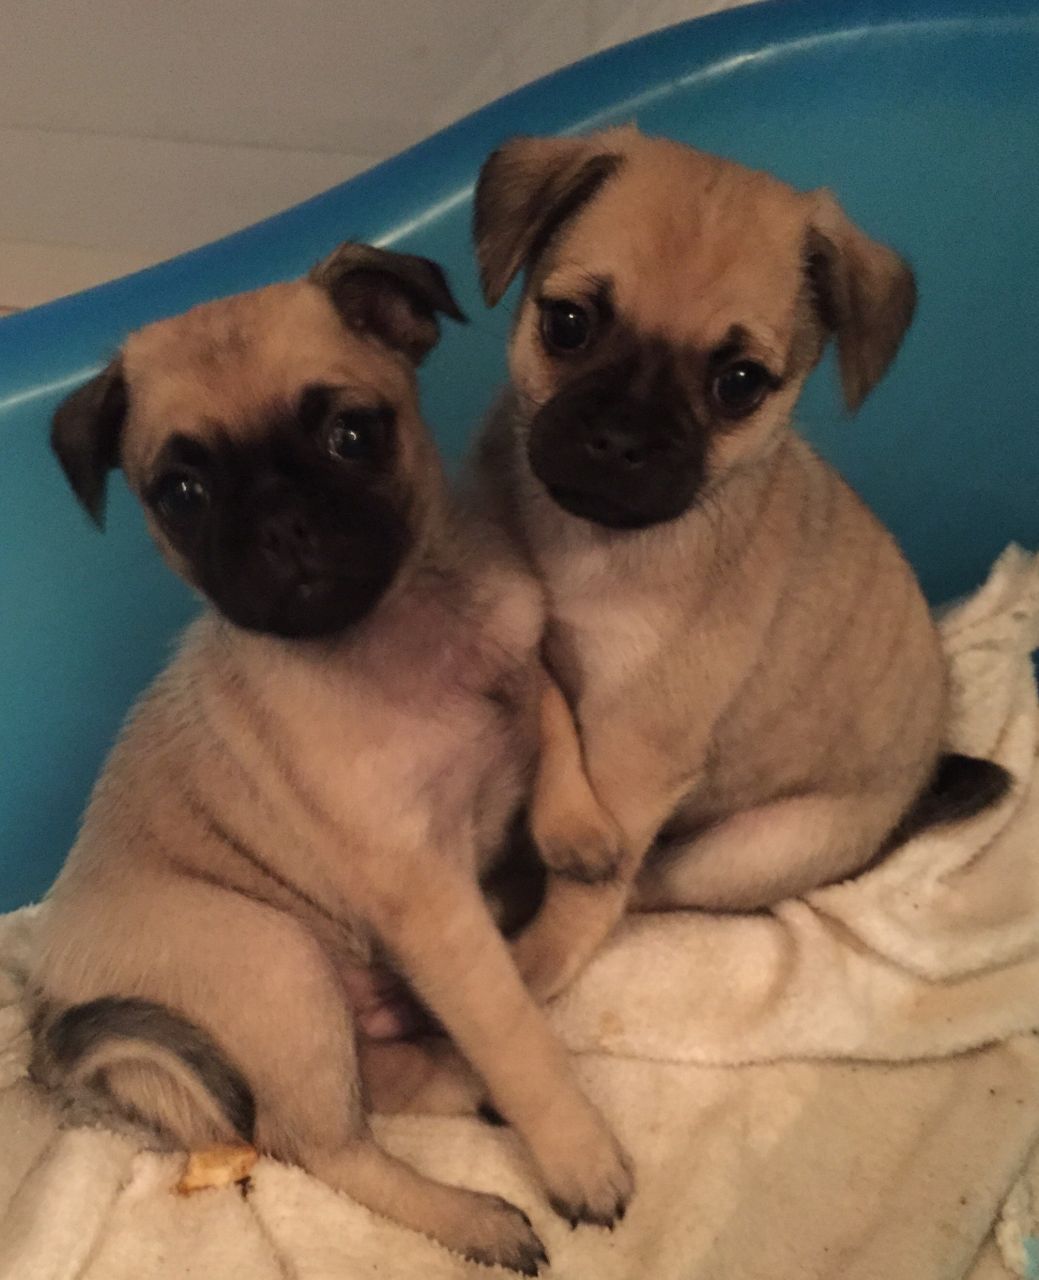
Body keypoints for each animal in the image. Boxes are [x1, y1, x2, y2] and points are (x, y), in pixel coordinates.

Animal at [30, 244, 632, 1274]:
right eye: (180, 495)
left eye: (352, 435)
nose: (278, 519)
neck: (404, 628)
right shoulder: (433, 906)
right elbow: (517, 1036)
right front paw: (577, 1153)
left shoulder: (523, 645)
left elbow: (547, 707)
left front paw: (576, 829)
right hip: (278, 963)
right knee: (315, 1143)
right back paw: (472, 1214)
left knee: (370, 1084)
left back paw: (455, 1082)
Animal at [470, 129, 1008, 1003]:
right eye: (569, 325)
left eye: (739, 384)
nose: (620, 436)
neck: (582, 539)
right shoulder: (524, 642)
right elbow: (550, 710)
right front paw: (561, 826)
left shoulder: (634, 752)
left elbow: (585, 896)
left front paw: (530, 966)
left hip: (743, 851)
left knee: (642, 889)